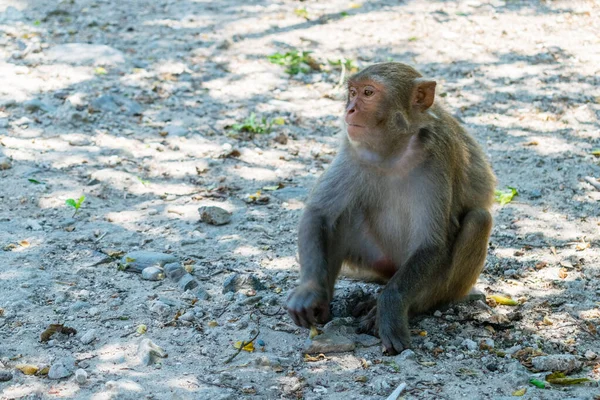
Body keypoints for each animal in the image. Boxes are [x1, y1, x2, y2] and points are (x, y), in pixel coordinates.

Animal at [288, 61, 494, 354]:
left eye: (369, 92)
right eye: (352, 92)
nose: (349, 110)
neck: (394, 150)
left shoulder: (438, 156)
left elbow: (431, 244)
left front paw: (389, 310)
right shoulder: (353, 150)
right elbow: (319, 216)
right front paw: (309, 292)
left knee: (478, 220)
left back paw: (404, 307)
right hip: (376, 260)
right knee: (342, 217)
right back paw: (326, 305)